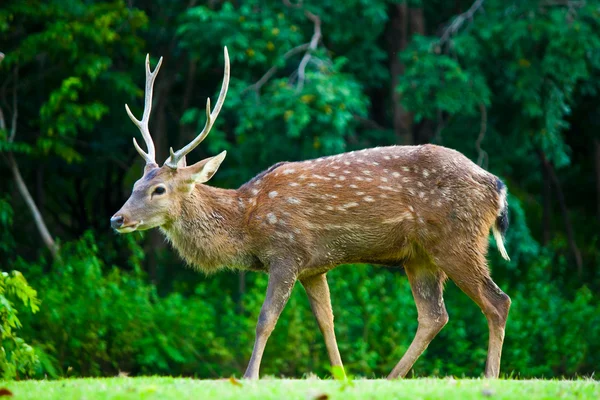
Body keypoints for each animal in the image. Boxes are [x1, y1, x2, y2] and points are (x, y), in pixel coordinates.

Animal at [111, 47, 510, 382]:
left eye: (158, 189)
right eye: (135, 183)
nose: (117, 219)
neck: (247, 221)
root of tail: (497, 187)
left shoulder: (287, 252)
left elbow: (265, 318)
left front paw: (249, 377)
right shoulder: (314, 266)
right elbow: (326, 322)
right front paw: (341, 376)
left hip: (459, 240)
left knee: (497, 301)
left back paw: (488, 377)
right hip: (420, 256)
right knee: (434, 315)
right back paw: (391, 378)